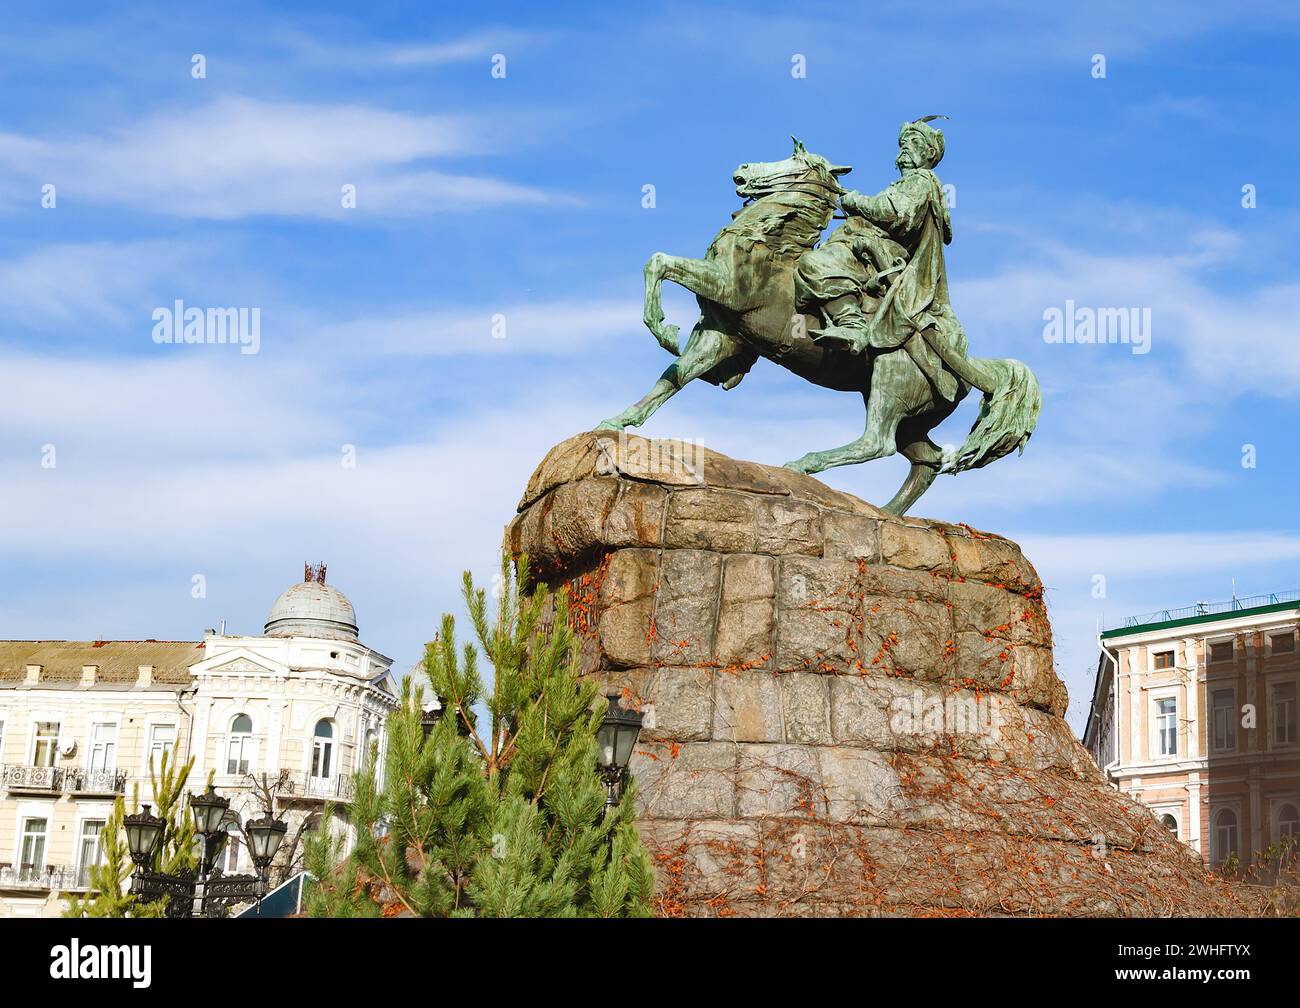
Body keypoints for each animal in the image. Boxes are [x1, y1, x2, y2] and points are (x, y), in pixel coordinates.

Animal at [595, 141, 1040, 517]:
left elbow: (659, 262)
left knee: (877, 442)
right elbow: (674, 377)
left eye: (796, 161)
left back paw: (804, 463)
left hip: (889, 383)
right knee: (926, 461)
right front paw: (617, 421)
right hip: (911, 416)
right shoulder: (721, 336)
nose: (743, 169)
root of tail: (967, 364)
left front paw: (661, 328)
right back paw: (888, 513)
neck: (769, 245)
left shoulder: (725, 286)